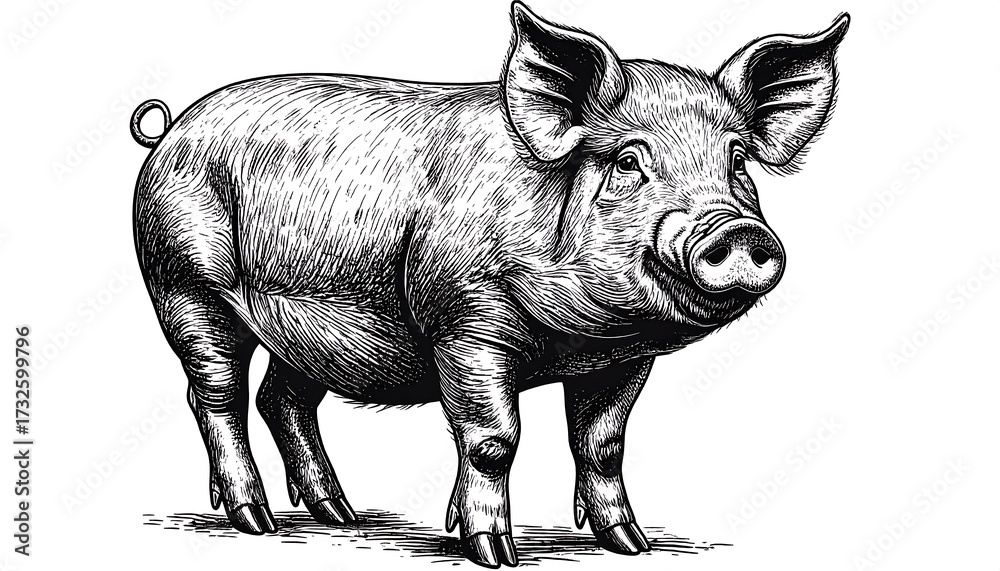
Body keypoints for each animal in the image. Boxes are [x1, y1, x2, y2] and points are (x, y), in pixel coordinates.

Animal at [129, 2, 848, 567]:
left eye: (737, 161)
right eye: (628, 161)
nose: (737, 230)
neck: (579, 335)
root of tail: (170, 131)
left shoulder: (622, 359)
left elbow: (603, 443)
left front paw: (629, 543)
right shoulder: (465, 326)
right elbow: (494, 440)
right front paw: (495, 554)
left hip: (303, 328)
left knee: (282, 398)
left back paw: (341, 514)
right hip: (184, 284)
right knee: (216, 395)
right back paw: (256, 521)